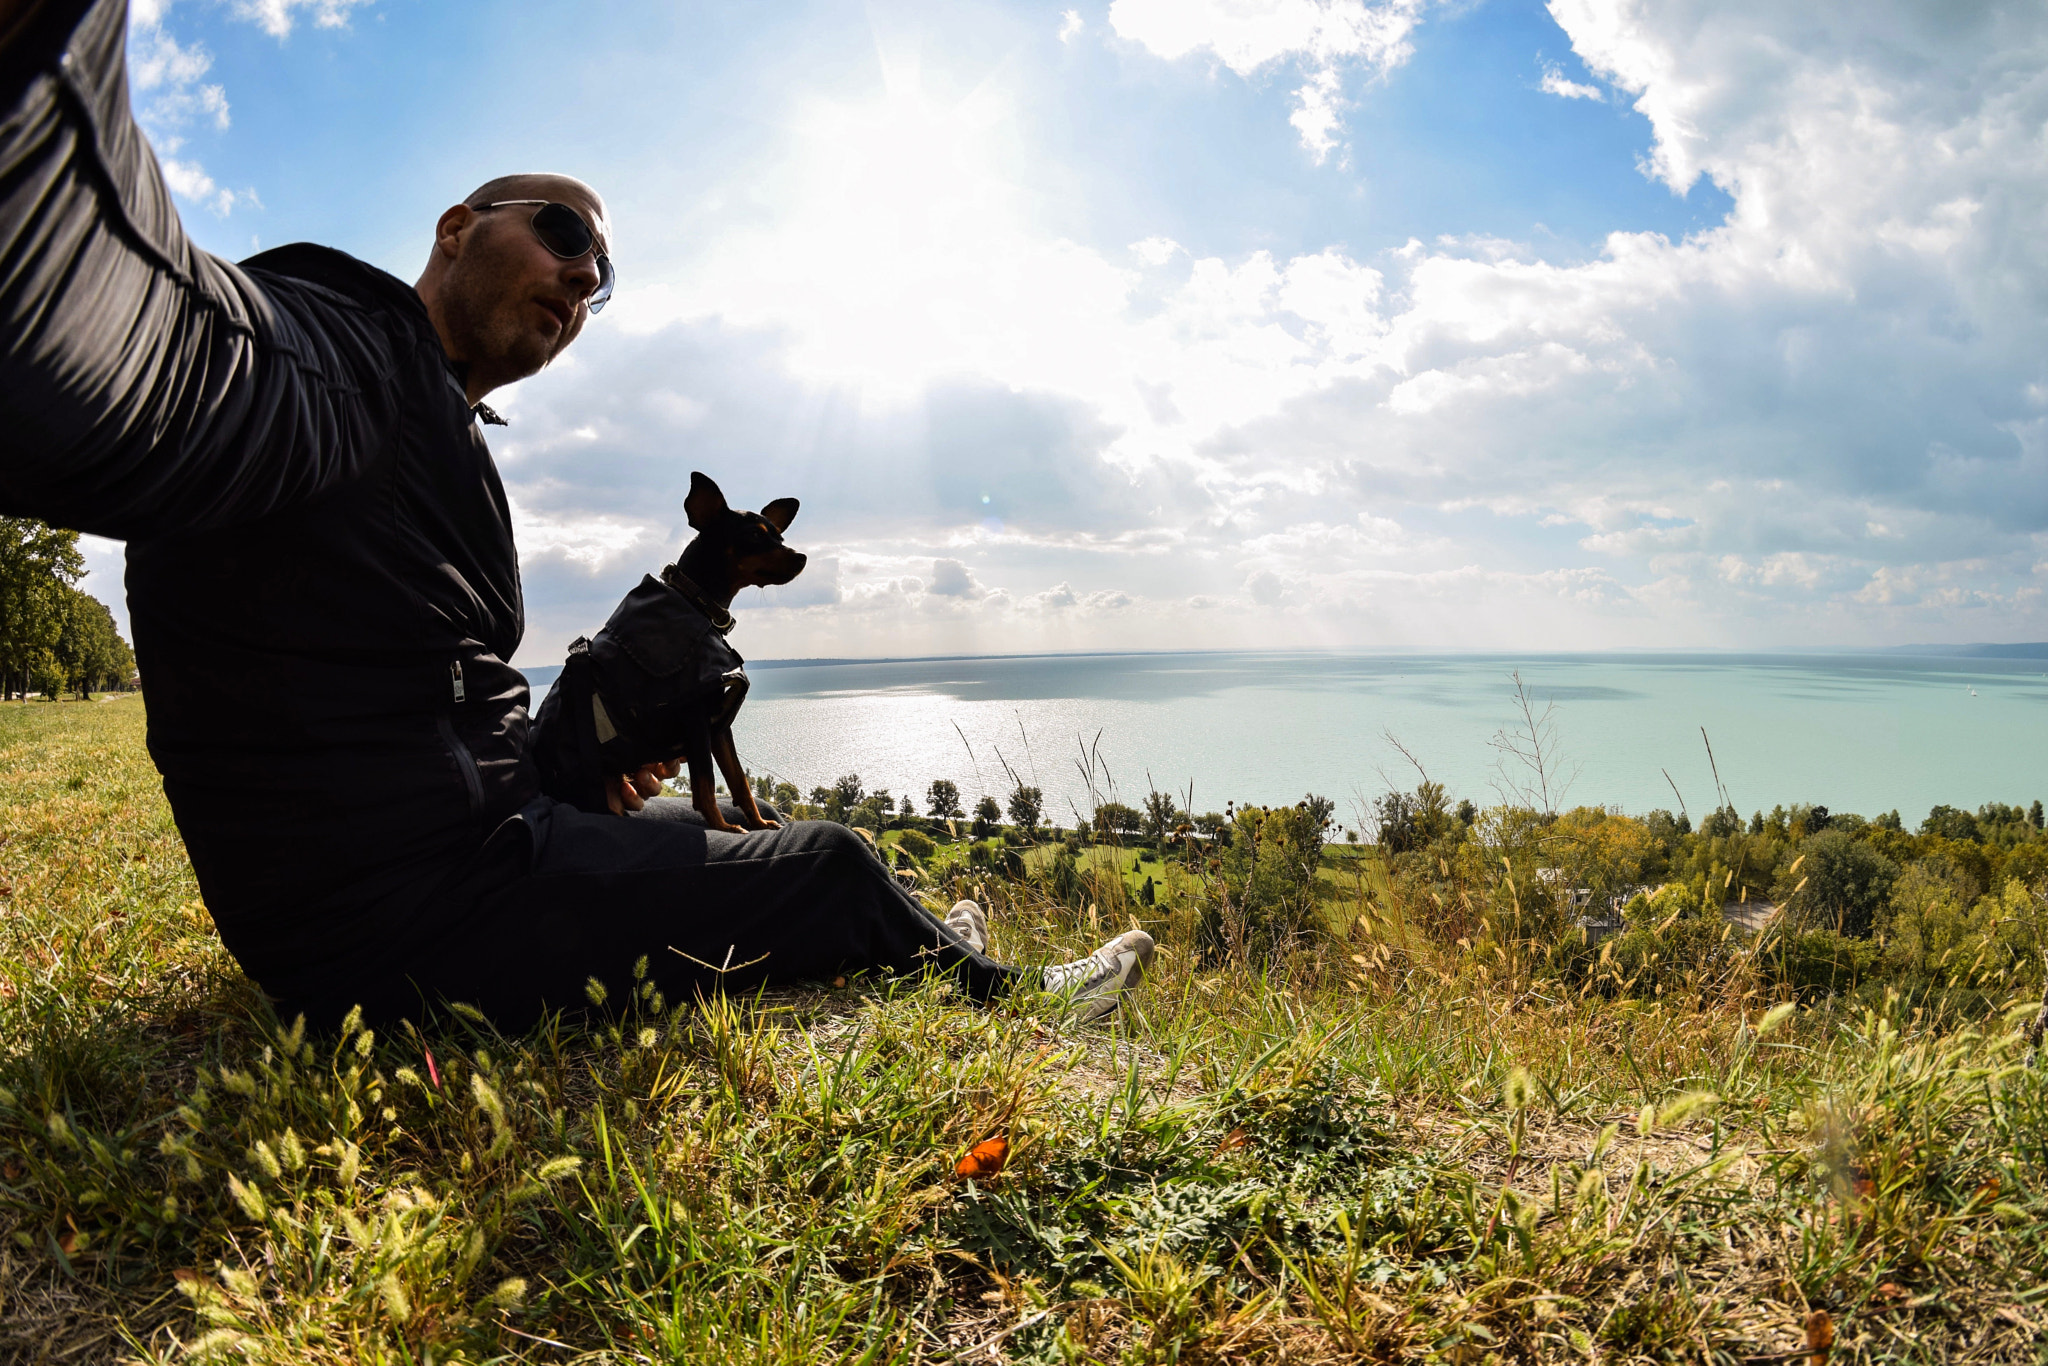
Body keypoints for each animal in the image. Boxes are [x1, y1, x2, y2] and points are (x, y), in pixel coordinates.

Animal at [528, 471, 806, 835]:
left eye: (779, 536)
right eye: (755, 536)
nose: (802, 557)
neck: (697, 602)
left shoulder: (718, 727)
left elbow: (739, 782)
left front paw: (759, 822)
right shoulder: (696, 719)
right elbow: (706, 787)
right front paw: (724, 829)